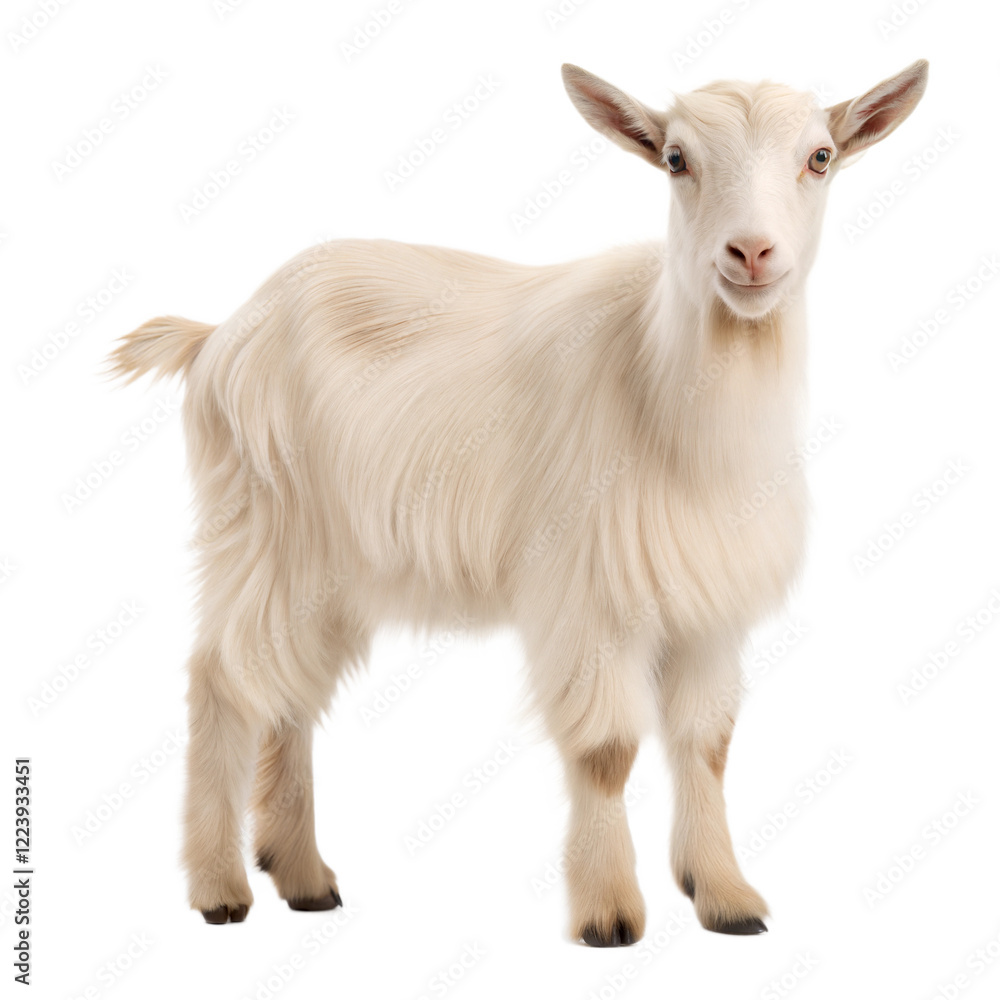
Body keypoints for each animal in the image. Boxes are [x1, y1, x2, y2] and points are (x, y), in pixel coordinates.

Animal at [109, 59, 928, 945]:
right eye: (676, 159)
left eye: (820, 157)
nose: (750, 251)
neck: (662, 390)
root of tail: (218, 333)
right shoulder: (588, 591)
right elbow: (607, 751)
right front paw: (608, 913)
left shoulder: (709, 605)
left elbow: (707, 744)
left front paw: (725, 896)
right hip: (261, 527)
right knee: (223, 681)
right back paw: (220, 887)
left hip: (324, 565)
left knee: (288, 693)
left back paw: (302, 877)